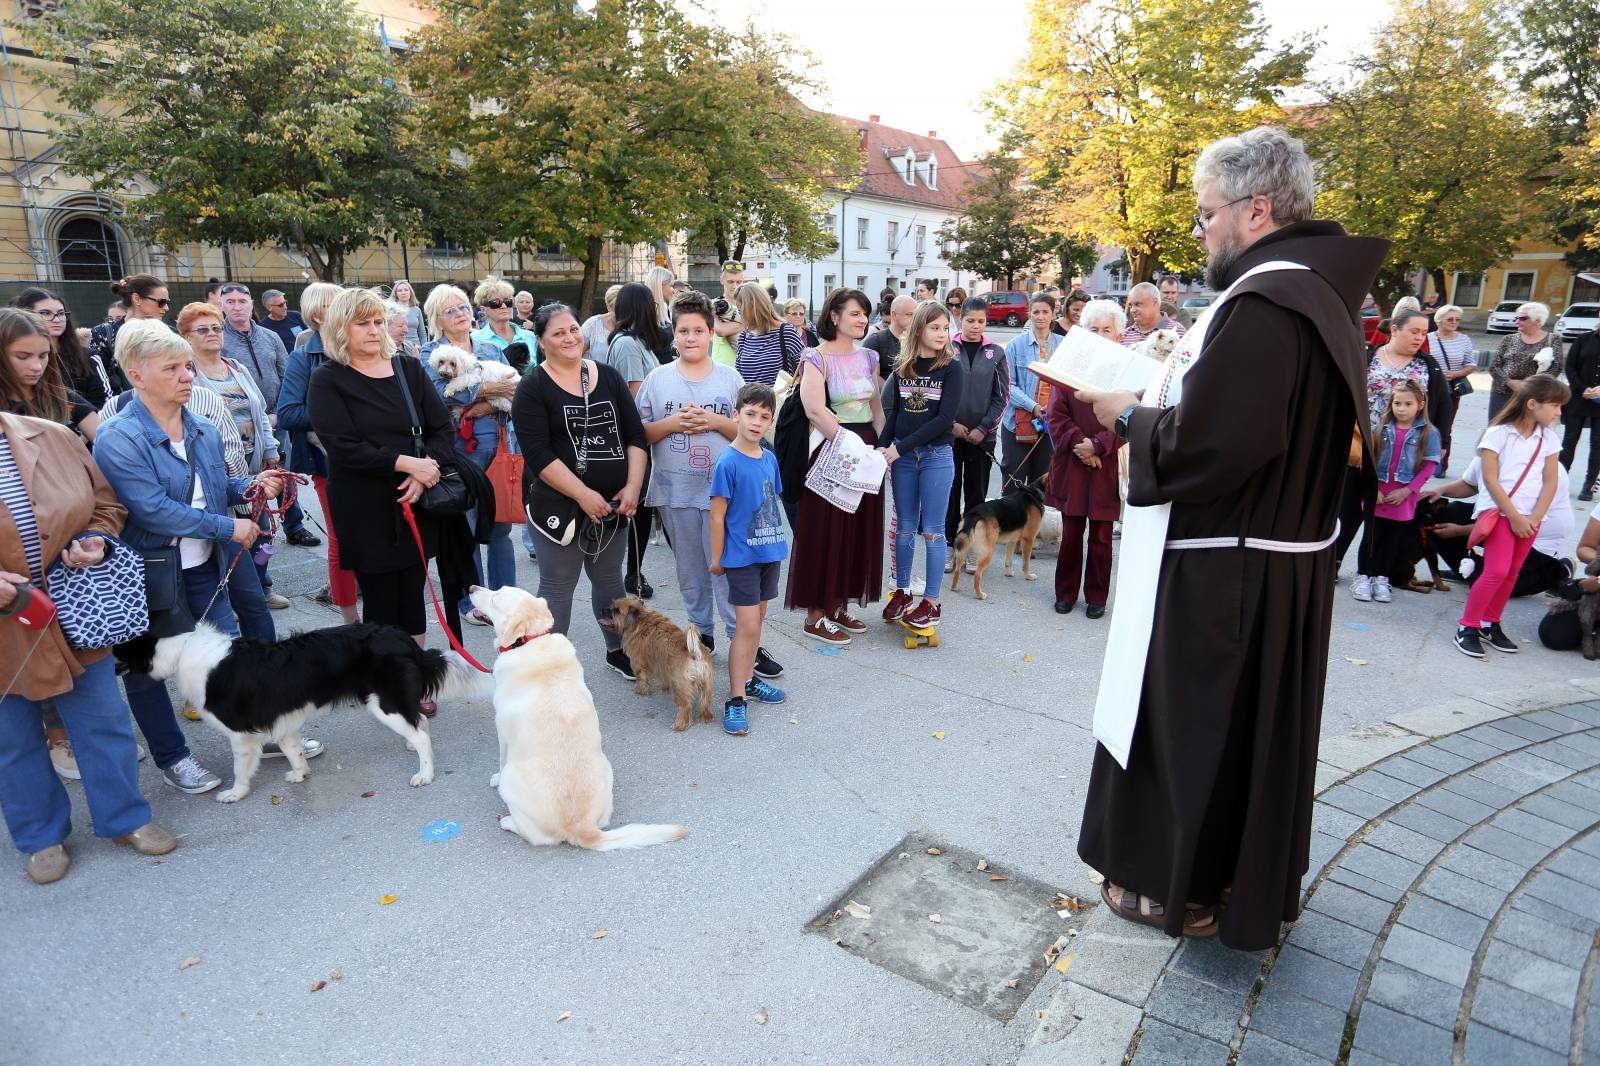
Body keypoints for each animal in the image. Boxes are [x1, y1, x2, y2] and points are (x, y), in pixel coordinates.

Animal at [464, 585, 688, 851]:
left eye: (495, 597)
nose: (471, 588)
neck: (532, 640)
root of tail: (582, 827)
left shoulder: (502, 729)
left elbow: (500, 759)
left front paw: (494, 778)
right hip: (606, 770)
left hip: (513, 784)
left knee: (533, 835)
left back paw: (508, 821)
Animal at [611, 592, 713, 726]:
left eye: (617, 611)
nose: (604, 610)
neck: (641, 618)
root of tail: (693, 652)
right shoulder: (662, 666)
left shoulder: (638, 663)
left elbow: (641, 678)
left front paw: (641, 690)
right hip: (705, 685)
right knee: (705, 702)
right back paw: (705, 717)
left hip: (679, 685)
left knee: (685, 706)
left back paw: (680, 725)